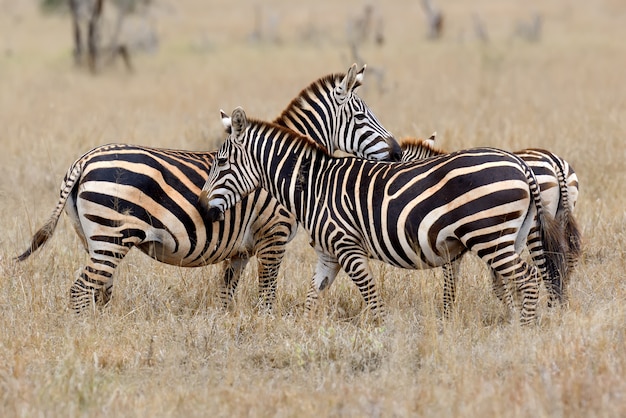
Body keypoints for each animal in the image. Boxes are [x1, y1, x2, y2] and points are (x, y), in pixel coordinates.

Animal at [15, 63, 400, 312]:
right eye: (362, 116)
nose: (397, 152)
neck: (280, 164)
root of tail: (85, 159)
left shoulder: (240, 250)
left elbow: (225, 297)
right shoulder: (272, 235)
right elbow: (267, 296)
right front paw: (265, 328)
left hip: (94, 240)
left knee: (97, 292)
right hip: (112, 238)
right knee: (80, 292)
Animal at [400, 134, 580, 314]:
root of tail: (554, 161)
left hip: (537, 230)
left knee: (549, 270)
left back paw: (551, 310)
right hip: (561, 218)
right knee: (565, 261)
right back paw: (561, 307)